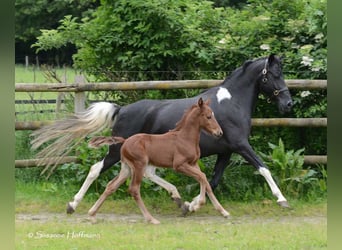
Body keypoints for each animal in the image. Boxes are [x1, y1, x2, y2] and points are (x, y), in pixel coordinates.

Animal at [87, 98, 230, 225]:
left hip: (127, 168)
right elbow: (202, 177)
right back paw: (151, 219)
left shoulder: (193, 164)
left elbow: (205, 180)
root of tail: (125, 141)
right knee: (134, 189)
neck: (185, 138)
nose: (219, 132)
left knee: (111, 186)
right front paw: (197, 204)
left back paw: (92, 215)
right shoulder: (179, 165)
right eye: (208, 117)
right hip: (139, 166)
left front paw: (223, 212)